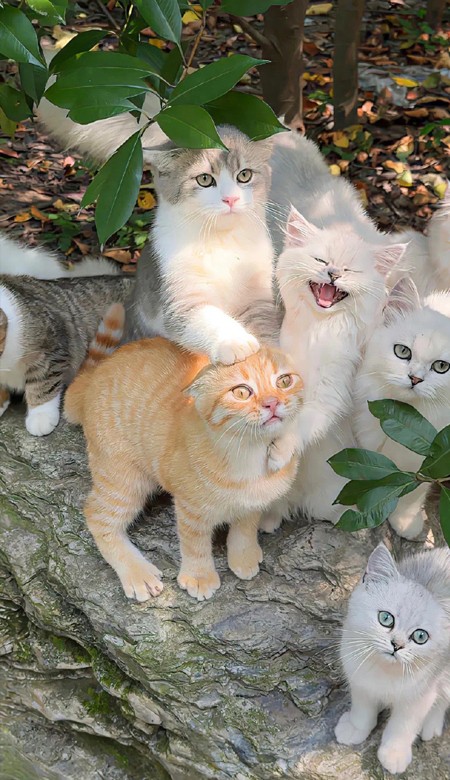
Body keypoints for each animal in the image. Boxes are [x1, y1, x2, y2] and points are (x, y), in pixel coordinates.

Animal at [64, 325, 303, 602]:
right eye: (242, 392)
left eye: (284, 381)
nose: (272, 403)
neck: (248, 454)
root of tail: (94, 376)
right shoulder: (190, 508)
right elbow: (195, 544)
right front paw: (199, 577)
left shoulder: (253, 503)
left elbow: (245, 527)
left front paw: (243, 556)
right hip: (124, 479)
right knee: (97, 515)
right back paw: (137, 574)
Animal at [124, 125, 275, 365]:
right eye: (204, 179)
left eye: (244, 175)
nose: (230, 199)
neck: (222, 242)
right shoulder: (179, 297)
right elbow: (205, 317)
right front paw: (235, 341)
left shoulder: (258, 296)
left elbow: (268, 326)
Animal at [335, 542, 450, 775]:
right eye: (386, 618)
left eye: (420, 636)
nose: (396, 645)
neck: (384, 672)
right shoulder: (360, 680)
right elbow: (362, 710)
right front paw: (355, 728)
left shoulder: (420, 696)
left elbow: (402, 726)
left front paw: (394, 754)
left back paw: (431, 725)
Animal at [354, 277, 450, 539]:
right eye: (403, 352)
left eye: (441, 367)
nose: (415, 379)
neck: (404, 419)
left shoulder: (429, 463)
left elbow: (412, 494)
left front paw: (405, 523)